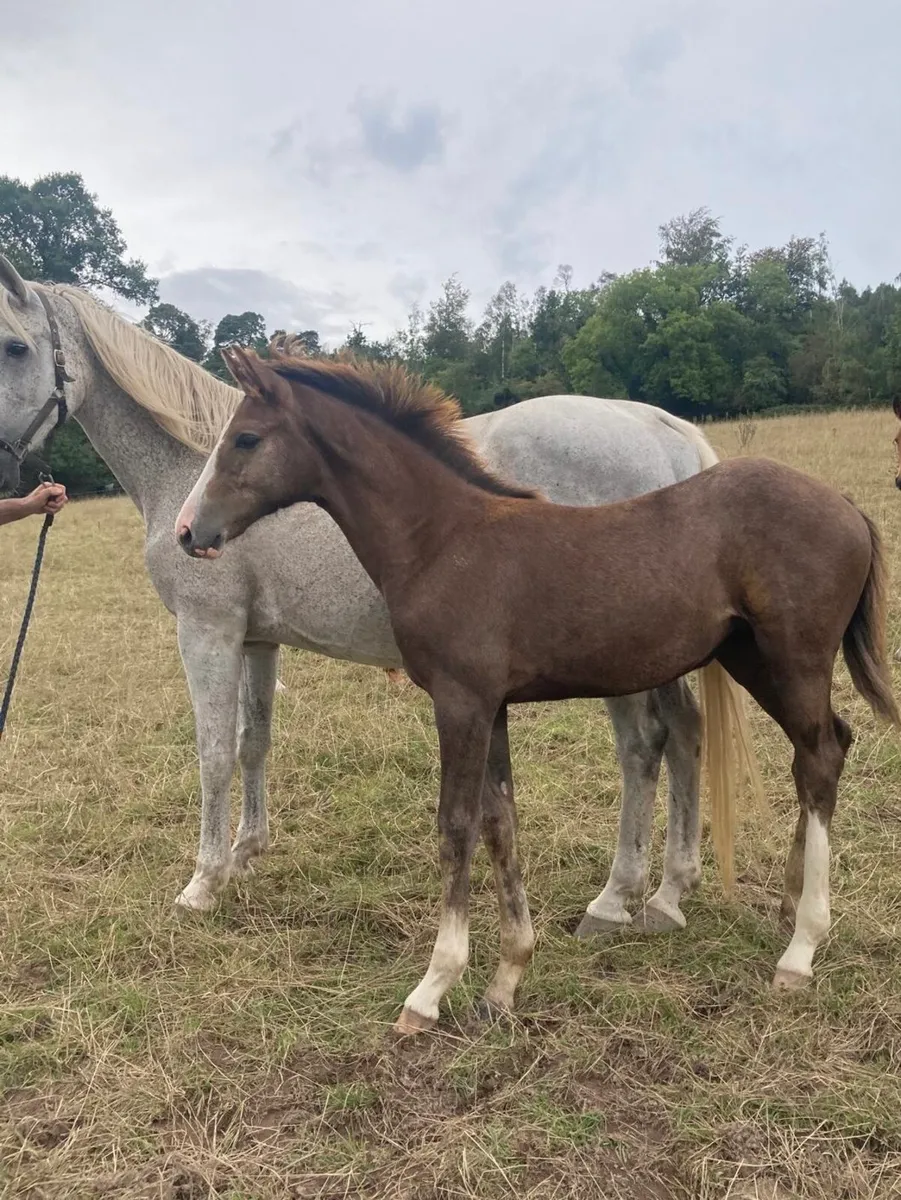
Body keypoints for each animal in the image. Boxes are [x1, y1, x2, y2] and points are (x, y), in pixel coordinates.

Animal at [0, 253, 745, 934]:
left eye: (14, 346)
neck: (189, 469)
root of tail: (663, 432)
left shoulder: (207, 631)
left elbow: (212, 752)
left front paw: (203, 882)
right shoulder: (258, 639)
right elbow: (252, 741)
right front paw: (245, 855)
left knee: (643, 747)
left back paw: (614, 899)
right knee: (683, 734)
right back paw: (669, 893)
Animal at [177, 347, 899, 1035]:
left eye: (245, 438)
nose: (189, 531)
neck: (441, 540)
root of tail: (847, 506)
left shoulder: (460, 702)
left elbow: (457, 825)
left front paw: (431, 989)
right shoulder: (490, 705)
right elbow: (501, 821)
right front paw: (505, 981)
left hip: (794, 660)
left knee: (818, 759)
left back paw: (800, 949)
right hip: (753, 660)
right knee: (822, 749)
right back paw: (787, 905)